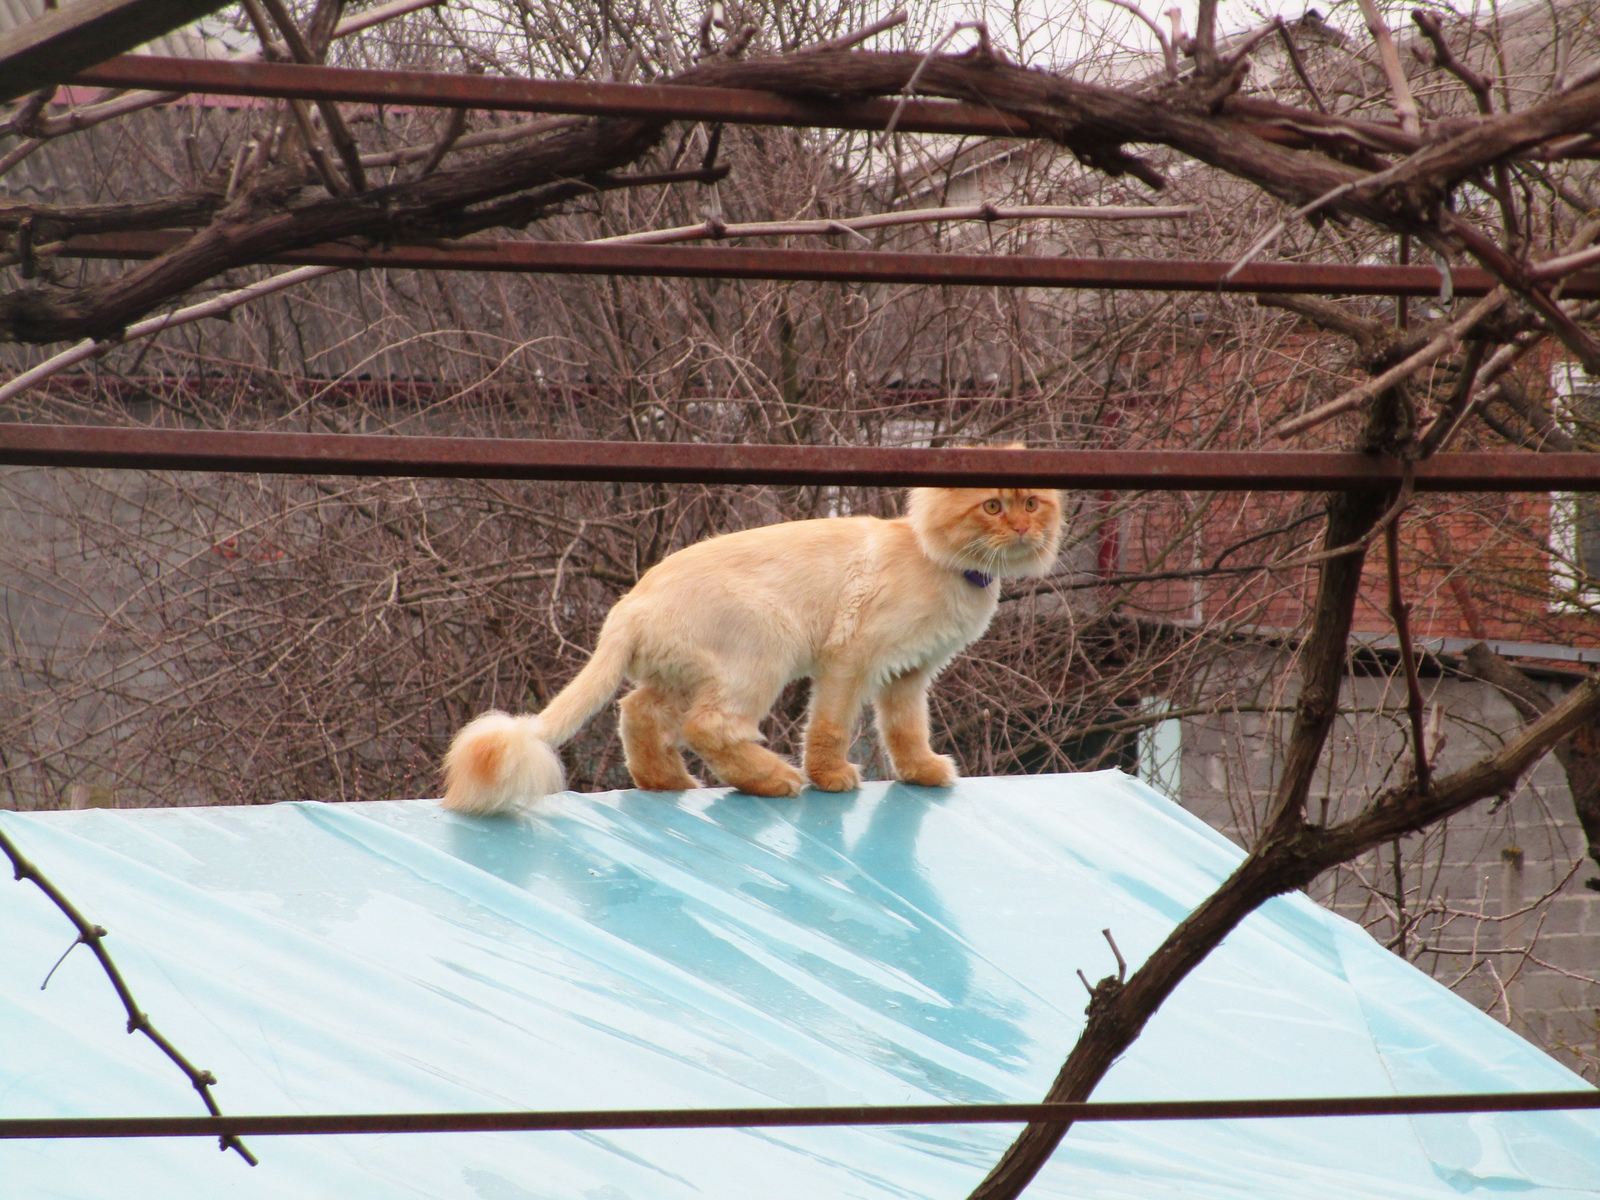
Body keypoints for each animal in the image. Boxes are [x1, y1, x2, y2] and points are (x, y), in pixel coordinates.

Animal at [441, 489, 1062, 819]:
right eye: (992, 507)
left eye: (1033, 504)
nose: (1022, 527)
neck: (946, 564)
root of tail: (628, 607)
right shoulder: (851, 657)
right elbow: (831, 726)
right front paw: (830, 777)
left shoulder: (910, 673)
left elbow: (906, 730)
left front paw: (923, 773)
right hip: (766, 645)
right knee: (708, 728)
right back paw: (775, 779)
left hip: (683, 675)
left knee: (636, 713)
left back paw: (667, 783)